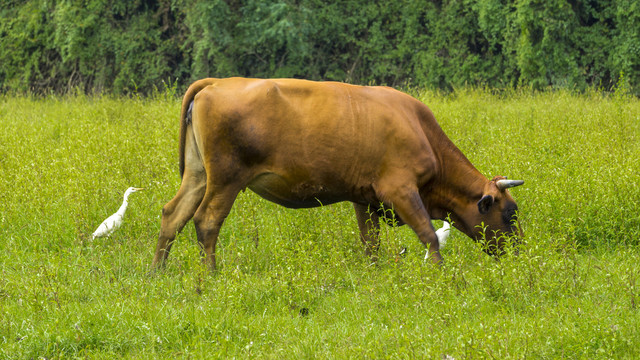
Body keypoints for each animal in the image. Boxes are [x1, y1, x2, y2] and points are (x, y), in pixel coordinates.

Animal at [152, 79, 524, 270]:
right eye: (510, 213)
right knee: (206, 221)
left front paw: (377, 275)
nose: (521, 251)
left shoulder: (366, 198)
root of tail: (217, 82)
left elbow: (370, 242)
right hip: (225, 179)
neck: (419, 128)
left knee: (173, 215)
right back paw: (210, 278)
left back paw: (157, 273)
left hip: (198, 175)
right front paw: (440, 274)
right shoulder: (401, 190)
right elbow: (429, 235)